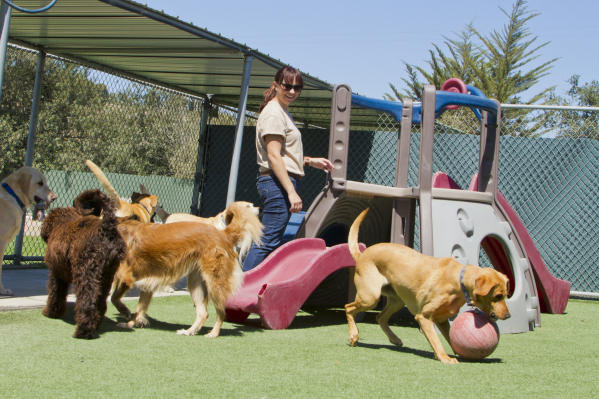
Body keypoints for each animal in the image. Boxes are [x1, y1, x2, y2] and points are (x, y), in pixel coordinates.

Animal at [42, 189, 127, 340]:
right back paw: (96, 325)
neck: (62, 222)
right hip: (106, 276)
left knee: (88, 302)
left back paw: (83, 331)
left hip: (86, 273)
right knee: (101, 303)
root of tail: (106, 227)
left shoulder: (57, 273)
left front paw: (51, 312)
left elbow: (55, 294)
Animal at [112, 203, 262, 338]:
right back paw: (189, 331)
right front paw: (131, 323)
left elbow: (115, 297)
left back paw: (213, 333)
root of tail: (223, 234)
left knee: (221, 312)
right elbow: (139, 309)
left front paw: (125, 312)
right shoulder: (147, 284)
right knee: (203, 313)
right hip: (197, 283)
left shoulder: (125, 276)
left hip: (214, 283)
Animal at [346, 209, 510, 366]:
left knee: (380, 317)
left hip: (397, 300)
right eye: (498, 296)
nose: (508, 316)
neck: (458, 280)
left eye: (505, 295)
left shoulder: (442, 320)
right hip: (370, 297)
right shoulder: (424, 317)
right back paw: (354, 335)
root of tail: (362, 255)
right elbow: (436, 341)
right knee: (349, 308)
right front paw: (445, 358)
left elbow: (450, 339)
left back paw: (394, 339)